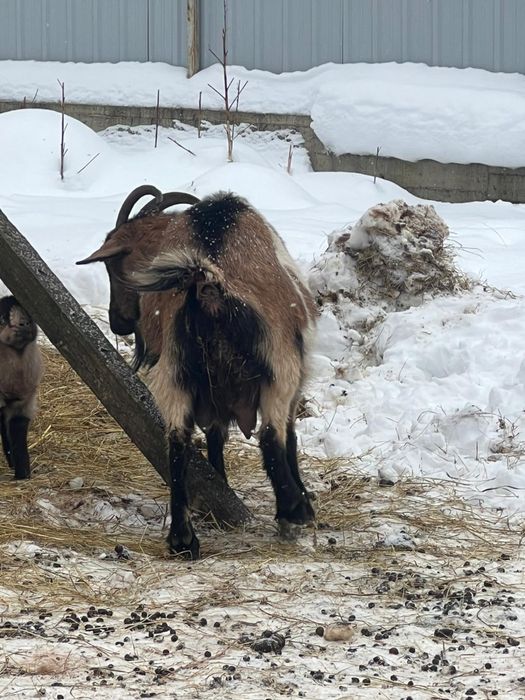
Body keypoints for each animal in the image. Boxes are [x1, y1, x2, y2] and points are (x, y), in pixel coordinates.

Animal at [77, 188, 317, 559]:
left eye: (116, 267)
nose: (118, 322)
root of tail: (207, 284)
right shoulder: (293, 377)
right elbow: (288, 438)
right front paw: (301, 503)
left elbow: (215, 438)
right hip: (279, 369)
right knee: (271, 436)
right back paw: (293, 511)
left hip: (175, 374)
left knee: (178, 444)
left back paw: (182, 539)